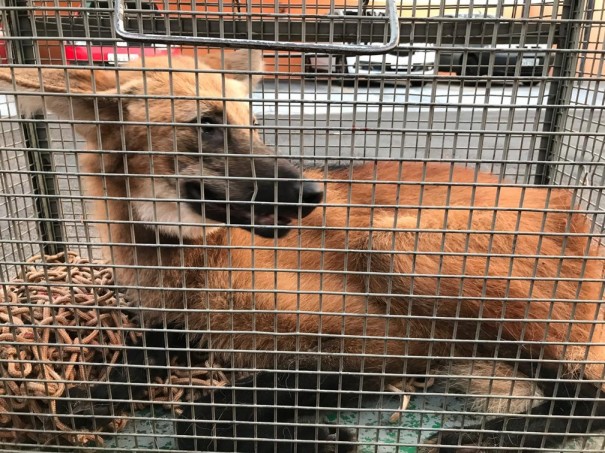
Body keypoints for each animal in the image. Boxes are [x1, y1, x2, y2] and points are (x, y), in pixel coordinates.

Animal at [2, 51, 600, 450]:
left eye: (253, 124)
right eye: (208, 125)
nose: (312, 194)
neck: (190, 259)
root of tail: (566, 203)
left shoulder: (374, 342)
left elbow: (201, 414)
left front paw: (317, 436)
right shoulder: (182, 322)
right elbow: (143, 354)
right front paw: (93, 397)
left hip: (399, 246)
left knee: (586, 396)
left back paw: (475, 441)